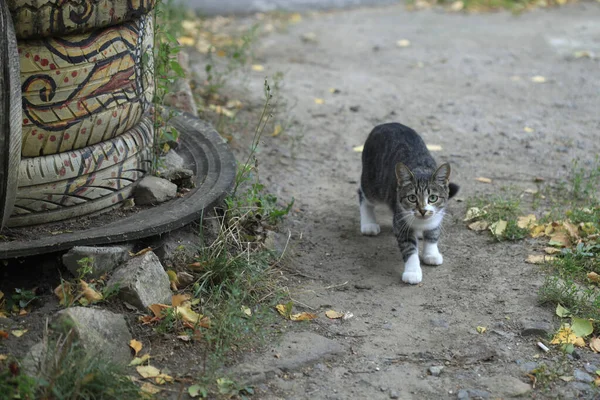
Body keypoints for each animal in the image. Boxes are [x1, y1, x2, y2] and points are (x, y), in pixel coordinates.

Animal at [356, 122, 460, 284]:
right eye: (412, 198)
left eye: (433, 198)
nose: (422, 210)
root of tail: (385, 124)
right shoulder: (400, 220)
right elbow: (409, 248)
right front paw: (412, 271)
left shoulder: (438, 214)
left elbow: (433, 233)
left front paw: (431, 253)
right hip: (373, 182)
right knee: (363, 193)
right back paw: (368, 224)